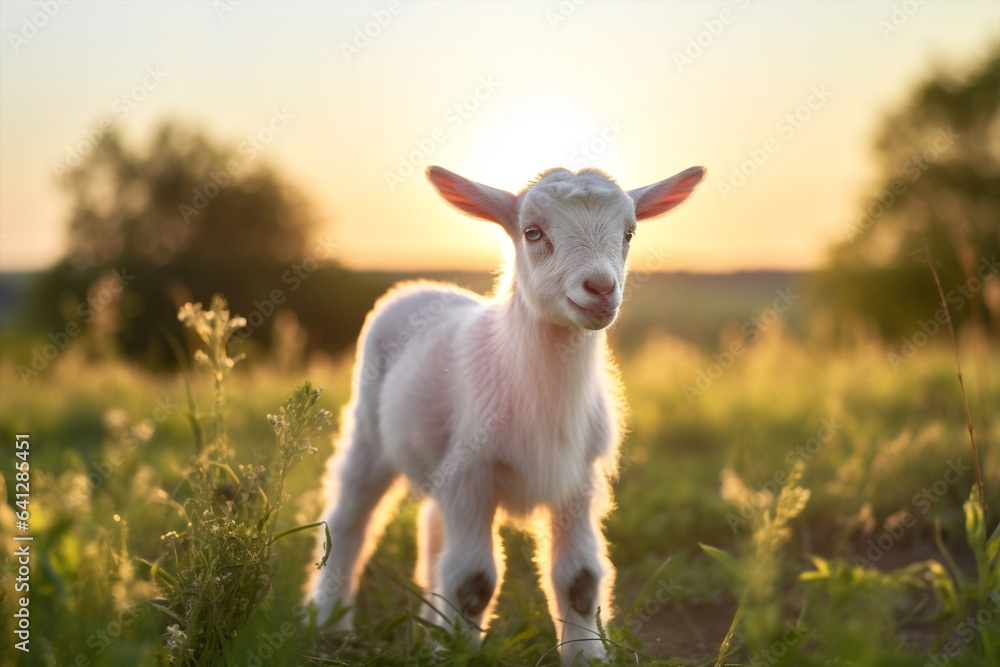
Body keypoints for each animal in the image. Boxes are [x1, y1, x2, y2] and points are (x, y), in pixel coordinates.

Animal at [305, 163, 705, 664]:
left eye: (630, 232)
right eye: (532, 232)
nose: (600, 289)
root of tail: (416, 287)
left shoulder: (578, 479)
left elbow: (580, 578)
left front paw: (587, 654)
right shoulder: (471, 472)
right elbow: (473, 580)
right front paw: (458, 652)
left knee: (432, 532)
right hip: (368, 430)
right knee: (349, 521)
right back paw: (329, 624)